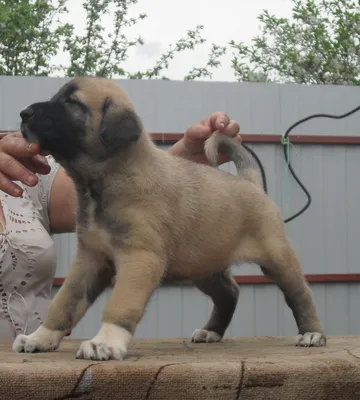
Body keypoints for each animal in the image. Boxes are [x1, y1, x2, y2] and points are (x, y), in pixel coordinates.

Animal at [12, 76, 326, 360]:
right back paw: (212, 331)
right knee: (229, 293)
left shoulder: (140, 258)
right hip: (203, 265)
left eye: (71, 103)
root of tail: (251, 183)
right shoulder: (90, 259)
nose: (24, 113)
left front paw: (106, 342)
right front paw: (41, 336)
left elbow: (120, 303)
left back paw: (312, 333)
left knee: (300, 294)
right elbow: (65, 302)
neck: (106, 179)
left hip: (277, 257)